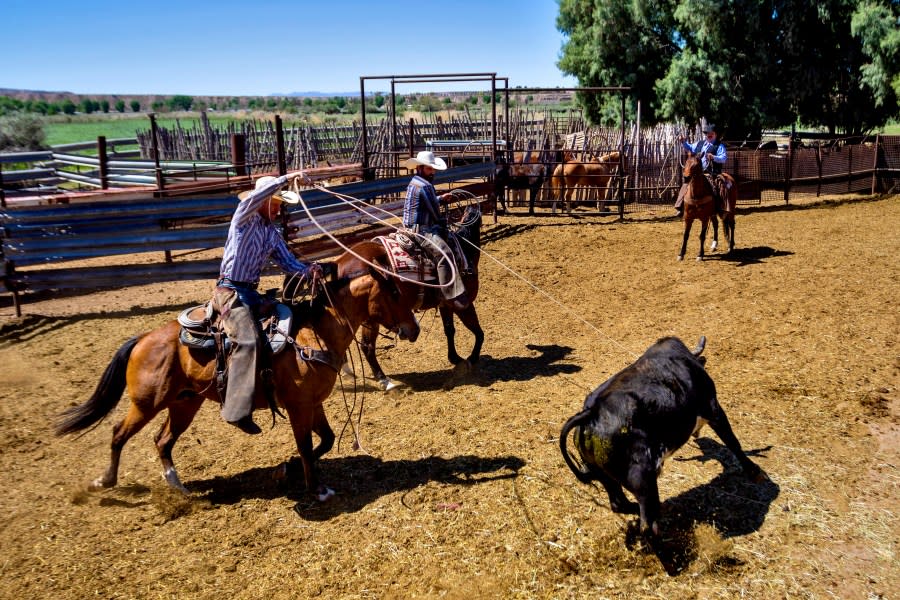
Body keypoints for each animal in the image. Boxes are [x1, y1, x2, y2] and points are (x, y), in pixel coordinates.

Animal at [54, 241, 420, 500]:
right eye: (395, 292)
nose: (414, 330)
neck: (314, 333)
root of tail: (143, 338)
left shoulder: (313, 404)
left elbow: (327, 440)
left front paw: (286, 470)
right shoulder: (298, 406)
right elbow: (306, 445)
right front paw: (315, 488)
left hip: (184, 402)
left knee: (163, 440)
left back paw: (178, 487)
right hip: (147, 403)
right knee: (119, 434)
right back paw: (105, 481)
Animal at [358, 204, 486, 392]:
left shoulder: (445, 305)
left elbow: (450, 330)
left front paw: (454, 357)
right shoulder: (464, 303)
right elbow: (478, 331)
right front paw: (472, 358)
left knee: (365, 346)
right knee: (367, 346)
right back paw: (383, 379)